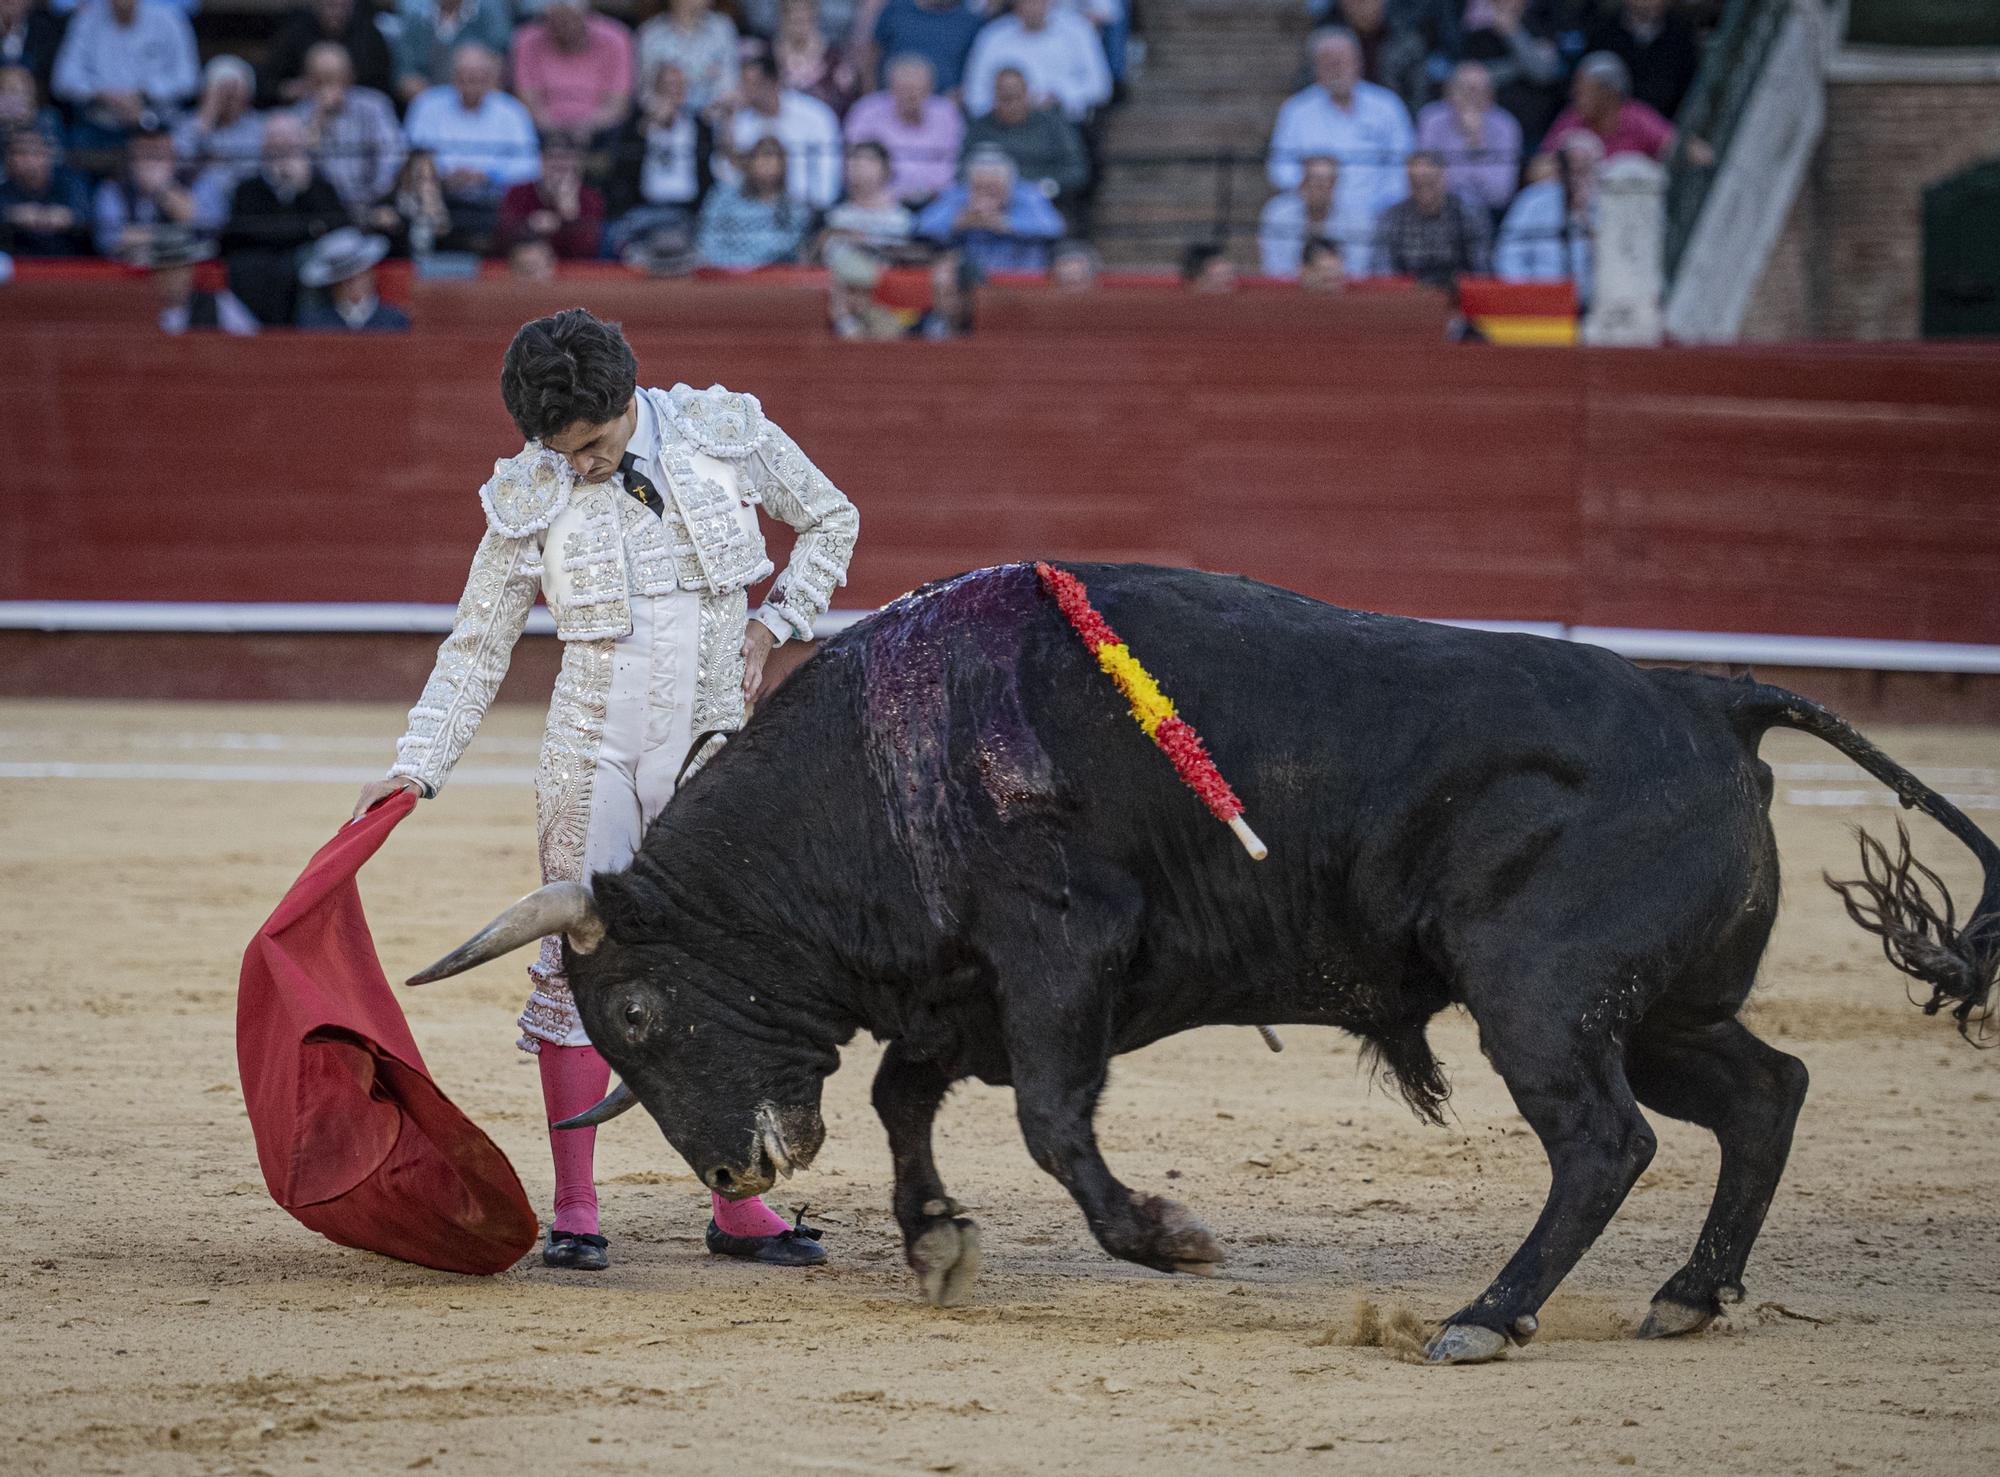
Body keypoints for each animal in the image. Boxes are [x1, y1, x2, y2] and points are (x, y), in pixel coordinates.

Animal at [414, 560, 1992, 1360]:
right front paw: (934, 1240)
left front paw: (1165, 1235)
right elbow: (904, 1099)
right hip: (1660, 1009)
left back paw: (1483, 1317)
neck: (886, 763)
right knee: (1763, 1094)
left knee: (1606, 1141)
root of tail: (1712, 698)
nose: (738, 1168)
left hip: (1541, 1002)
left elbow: (1052, 1124)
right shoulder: (965, 987)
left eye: (635, 1004)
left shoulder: (1061, 957)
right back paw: (1688, 1295)